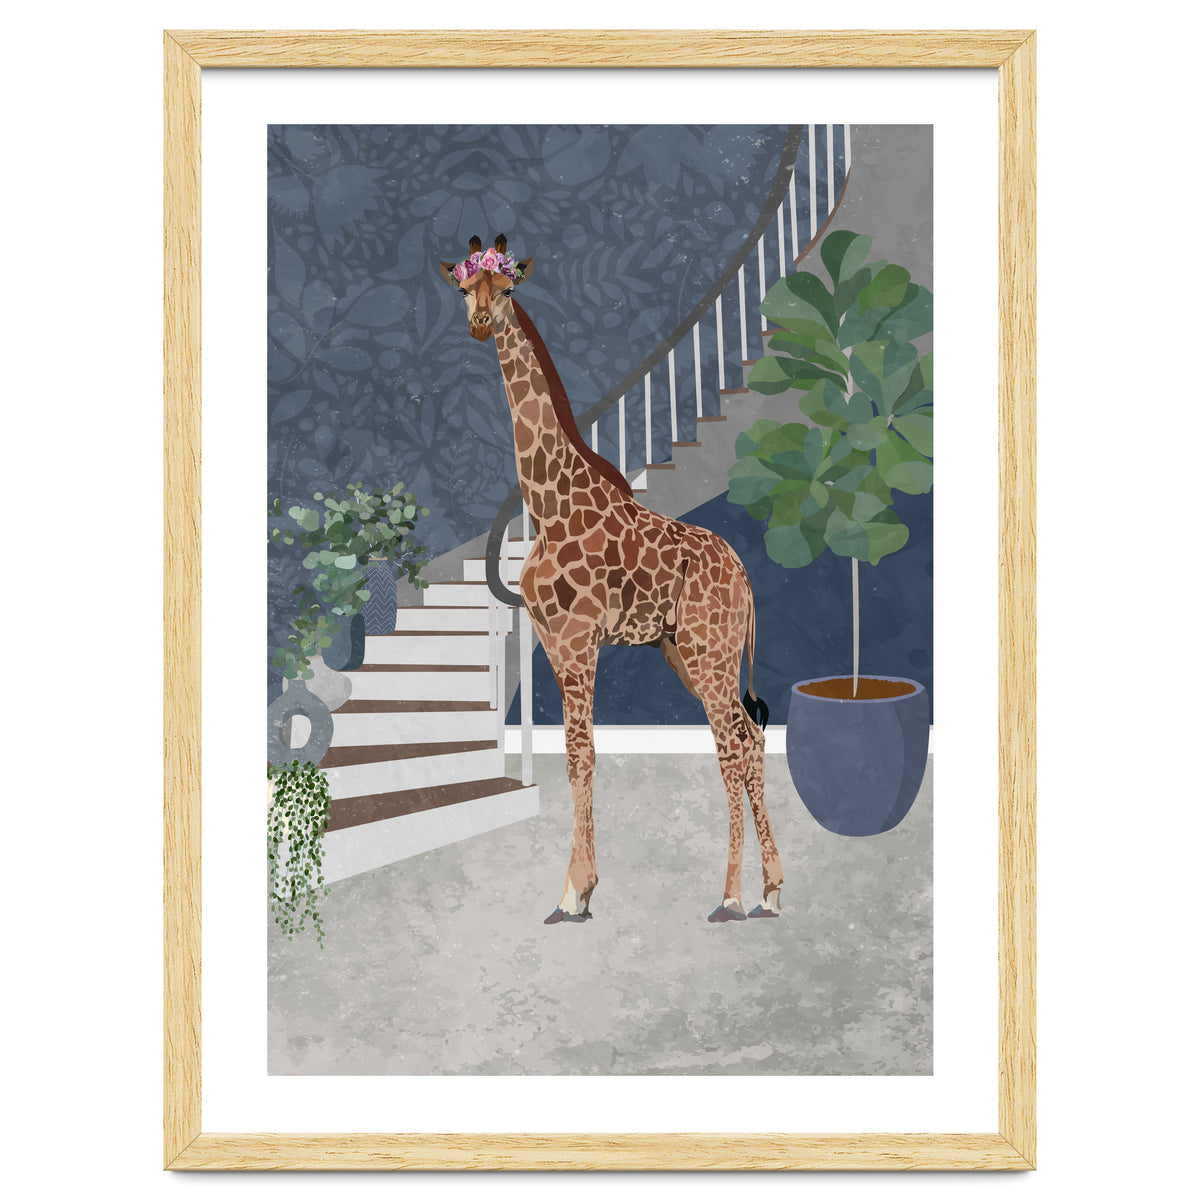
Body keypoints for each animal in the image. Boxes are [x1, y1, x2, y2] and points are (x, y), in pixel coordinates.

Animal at [440, 235, 784, 924]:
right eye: (464, 287)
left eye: (508, 287)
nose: (482, 323)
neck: (547, 504)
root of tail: (744, 575)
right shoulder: (551, 642)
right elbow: (577, 757)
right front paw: (580, 888)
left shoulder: (578, 642)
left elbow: (582, 753)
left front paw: (574, 892)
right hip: (689, 652)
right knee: (750, 739)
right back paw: (770, 891)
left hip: (710, 651)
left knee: (733, 746)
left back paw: (731, 895)